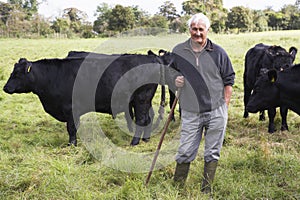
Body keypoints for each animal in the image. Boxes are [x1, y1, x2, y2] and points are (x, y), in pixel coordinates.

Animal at [3, 54, 177, 146]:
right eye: (12, 72)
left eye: (17, 74)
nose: (5, 87)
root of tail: (151, 58)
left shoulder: (70, 109)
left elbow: (71, 128)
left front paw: (71, 144)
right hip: (143, 101)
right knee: (147, 119)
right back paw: (145, 139)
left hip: (141, 99)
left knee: (141, 120)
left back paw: (134, 142)